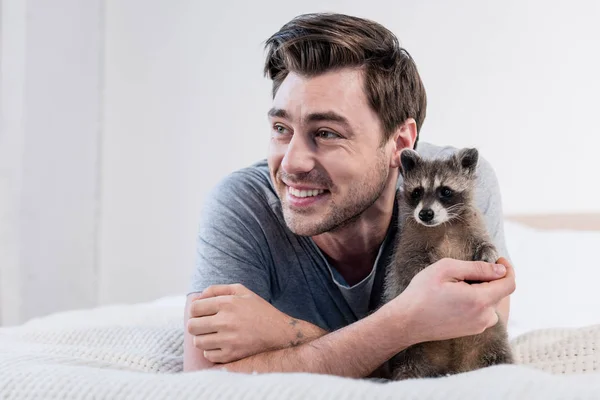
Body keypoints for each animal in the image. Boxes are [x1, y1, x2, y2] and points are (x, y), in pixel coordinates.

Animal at [382, 148, 512, 382]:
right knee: (409, 367)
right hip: (412, 348)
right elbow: (408, 267)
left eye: (445, 191)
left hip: (492, 335)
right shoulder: (408, 243)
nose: (425, 214)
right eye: (417, 192)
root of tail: (454, 368)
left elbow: (486, 244)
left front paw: (488, 252)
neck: (444, 224)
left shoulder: (475, 226)